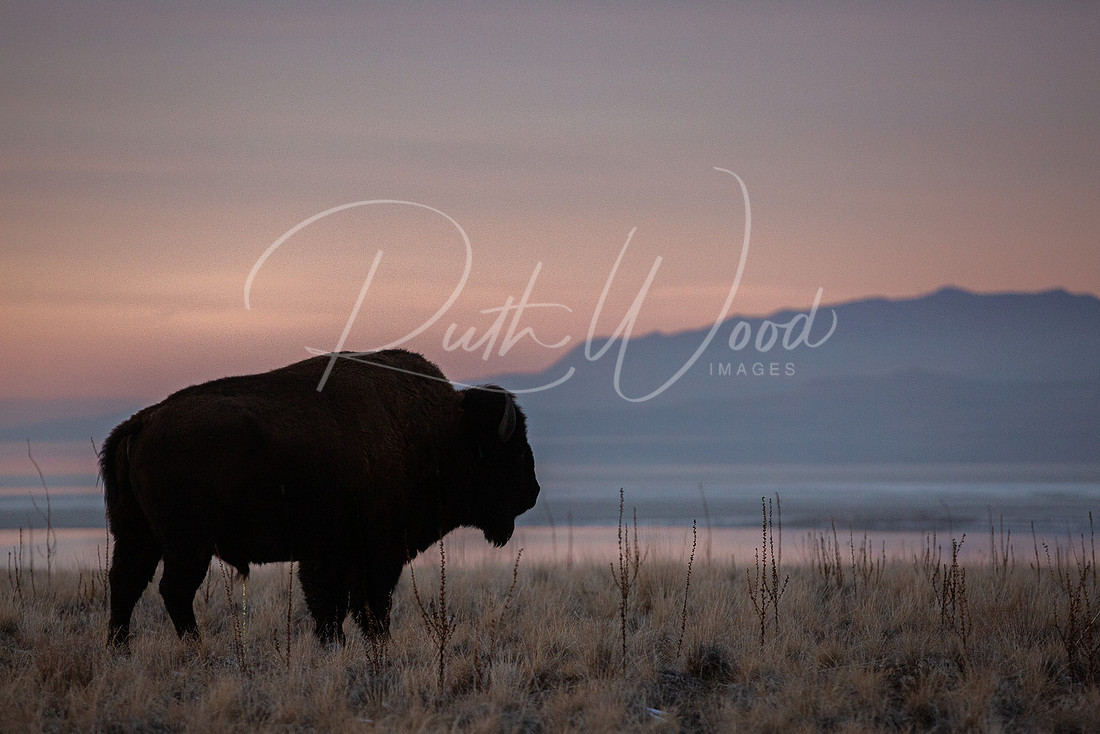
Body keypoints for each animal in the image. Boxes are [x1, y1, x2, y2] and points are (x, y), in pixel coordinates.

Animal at [100, 349, 539, 646]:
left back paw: (120, 650)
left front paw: (335, 644)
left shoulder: (331, 553)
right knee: (173, 590)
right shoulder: (376, 552)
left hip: (138, 536)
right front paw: (374, 645)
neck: (444, 434)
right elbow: (368, 605)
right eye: (515, 452)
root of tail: (143, 421)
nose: (532, 493)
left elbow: (331, 605)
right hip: (188, 544)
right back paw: (194, 648)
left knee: (125, 584)